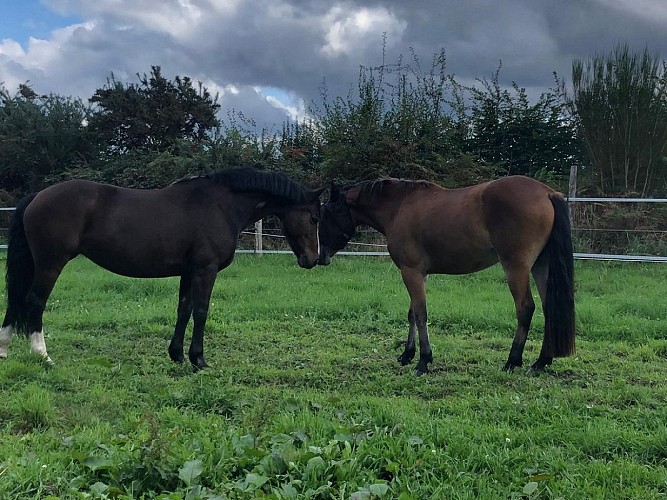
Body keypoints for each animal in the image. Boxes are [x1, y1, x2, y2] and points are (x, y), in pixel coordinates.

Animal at [0, 166, 324, 370]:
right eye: (314, 218)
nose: (313, 259)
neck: (220, 206)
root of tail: (38, 196)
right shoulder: (205, 271)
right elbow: (201, 311)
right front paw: (199, 360)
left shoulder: (188, 272)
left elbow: (184, 310)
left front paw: (177, 355)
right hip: (50, 263)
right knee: (34, 302)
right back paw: (42, 355)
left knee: (15, 302)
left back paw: (4, 349)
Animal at [318, 176, 576, 376]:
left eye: (325, 215)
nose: (321, 257)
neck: (399, 207)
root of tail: (547, 193)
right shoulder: (419, 274)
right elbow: (412, 313)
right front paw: (407, 354)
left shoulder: (410, 271)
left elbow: (421, 314)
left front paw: (423, 361)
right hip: (541, 266)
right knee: (549, 307)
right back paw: (541, 362)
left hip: (516, 267)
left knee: (525, 308)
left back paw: (512, 361)